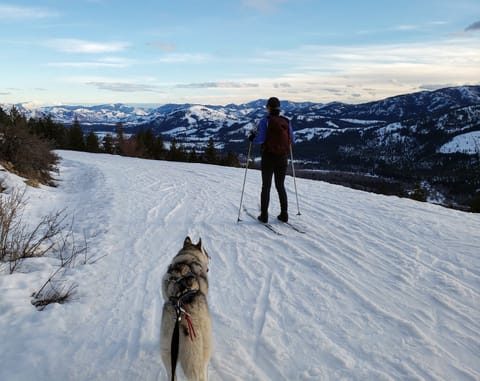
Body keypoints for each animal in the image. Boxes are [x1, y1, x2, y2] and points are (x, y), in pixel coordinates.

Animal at [160, 236, 211, 378]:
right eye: (206, 252)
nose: (211, 257)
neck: (188, 258)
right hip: (202, 350)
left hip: (166, 351)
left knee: (171, 374)